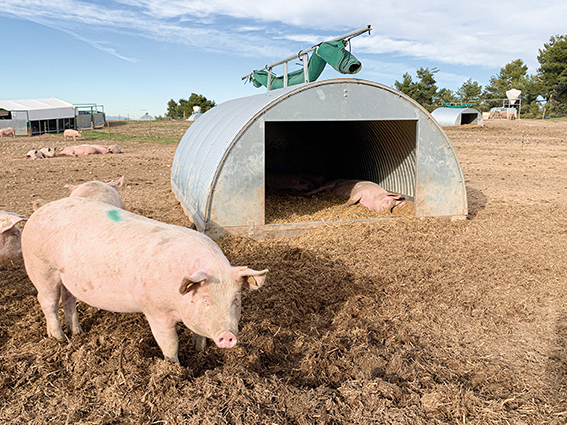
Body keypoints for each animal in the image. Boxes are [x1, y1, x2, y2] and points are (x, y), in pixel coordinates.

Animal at [21, 197, 268, 362]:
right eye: (206, 300)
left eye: (236, 299)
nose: (228, 336)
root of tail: (41, 209)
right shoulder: (155, 311)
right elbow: (170, 343)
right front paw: (173, 367)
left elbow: (198, 334)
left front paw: (200, 350)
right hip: (42, 268)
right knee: (47, 302)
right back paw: (59, 338)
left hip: (67, 277)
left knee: (69, 299)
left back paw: (78, 332)